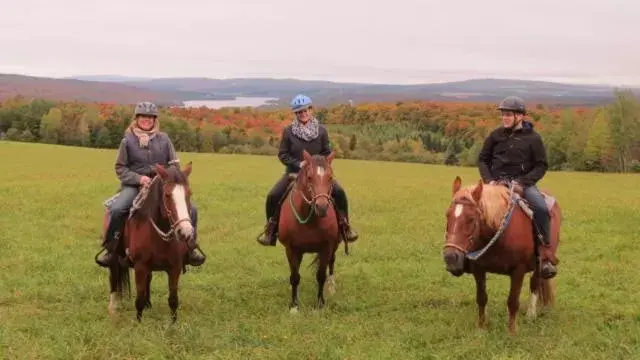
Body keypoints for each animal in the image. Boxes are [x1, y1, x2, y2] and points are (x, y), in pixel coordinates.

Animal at [98, 162, 195, 322]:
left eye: (189, 194)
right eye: (167, 195)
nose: (185, 232)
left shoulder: (175, 268)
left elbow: (173, 300)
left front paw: (173, 324)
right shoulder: (140, 267)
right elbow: (139, 300)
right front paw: (138, 323)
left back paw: (149, 304)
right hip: (114, 257)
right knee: (114, 277)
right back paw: (112, 308)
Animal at [276, 149, 342, 312]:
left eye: (330, 177)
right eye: (309, 177)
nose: (322, 207)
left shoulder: (326, 247)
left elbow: (321, 276)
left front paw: (320, 304)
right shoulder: (291, 248)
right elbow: (294, 276)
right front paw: (294, 305)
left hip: (335, 245)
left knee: (332, 262)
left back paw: (331, 286)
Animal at [442, 176, 564, 334]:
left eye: (471, 218)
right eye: (447, 215)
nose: (450, 258)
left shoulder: (518, 270)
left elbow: (513, 301)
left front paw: (512, 331)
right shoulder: (478, 268)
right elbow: (481, 298)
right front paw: (481, 327)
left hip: (540, 264)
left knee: (535, 283)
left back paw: (531, 314)